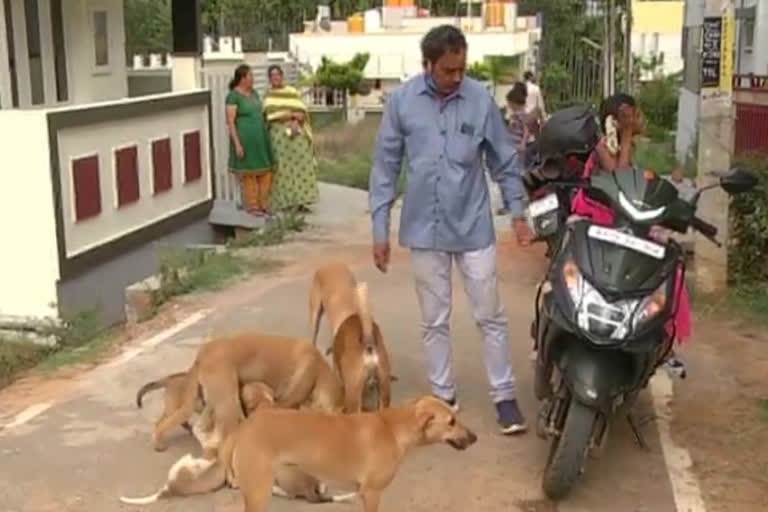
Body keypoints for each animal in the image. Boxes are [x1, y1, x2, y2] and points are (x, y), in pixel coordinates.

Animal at [118, 396, 474, 512]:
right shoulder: (371, 494)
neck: (392, 428)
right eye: (451, 421)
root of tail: (243, 430)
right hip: (259, 492)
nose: (475, 437)